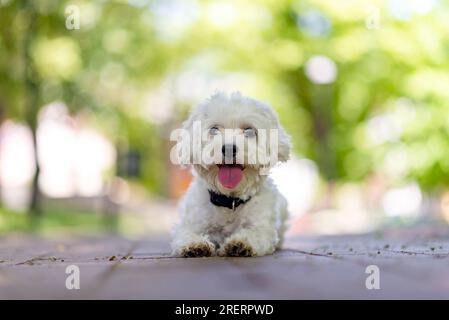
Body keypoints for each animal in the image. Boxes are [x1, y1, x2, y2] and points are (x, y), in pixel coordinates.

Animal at [169, 92, 290, 258]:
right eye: (214, 129)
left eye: (249, 131)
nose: (228, 148)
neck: (229, 201)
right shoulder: (190, 223)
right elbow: (185, 233)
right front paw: (195, 244)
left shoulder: (264, 228)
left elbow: (255, 233)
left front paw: (240, 243)